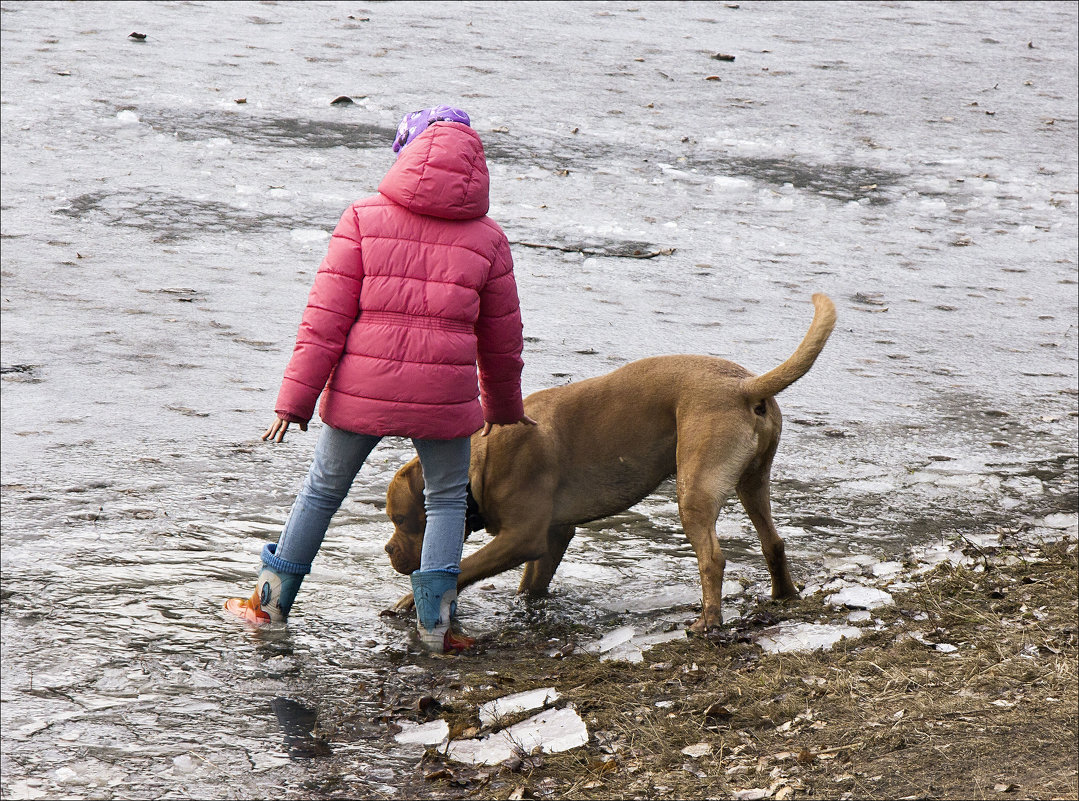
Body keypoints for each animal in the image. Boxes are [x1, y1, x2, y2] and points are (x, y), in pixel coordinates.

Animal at [384, 295, 837, 634]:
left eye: (402, 520)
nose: (388, 550)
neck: (481, 461)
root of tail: (743, 385)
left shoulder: (522, 536)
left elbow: (466, 567)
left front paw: (410, 600)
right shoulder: (553, 534)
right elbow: (531, 585)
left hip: (694, 492)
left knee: (713, 557)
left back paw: (708, 621)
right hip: (753, 483)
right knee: (773, 542)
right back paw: (783, 595)